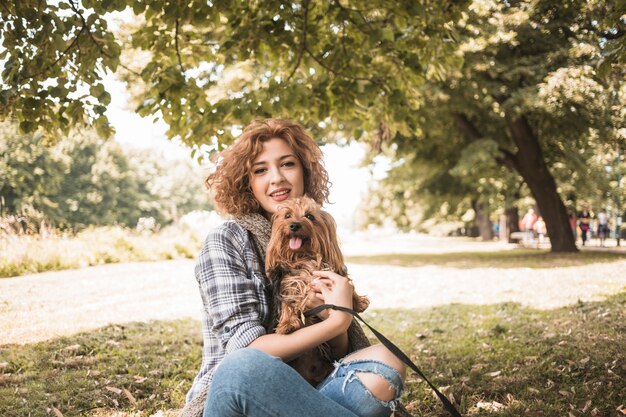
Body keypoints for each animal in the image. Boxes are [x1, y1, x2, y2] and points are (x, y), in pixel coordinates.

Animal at [266, 195, 368, 384]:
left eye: (309, 216)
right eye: (287, 215)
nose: (294, 225)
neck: (303, 256)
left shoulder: (332, 274)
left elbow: (348, 284)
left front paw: (359, 303)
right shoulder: (288, 283)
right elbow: (288, 302)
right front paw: (286, 324)